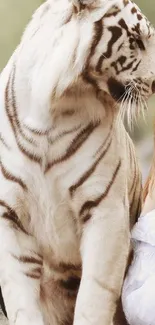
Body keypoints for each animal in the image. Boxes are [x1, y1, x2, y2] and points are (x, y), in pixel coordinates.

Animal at [0, 0, 154, 324]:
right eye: (136, 40)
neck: (53, 110)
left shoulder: (105, 210)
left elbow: (94, 295)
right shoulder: (10, 216)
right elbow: (21, 299)